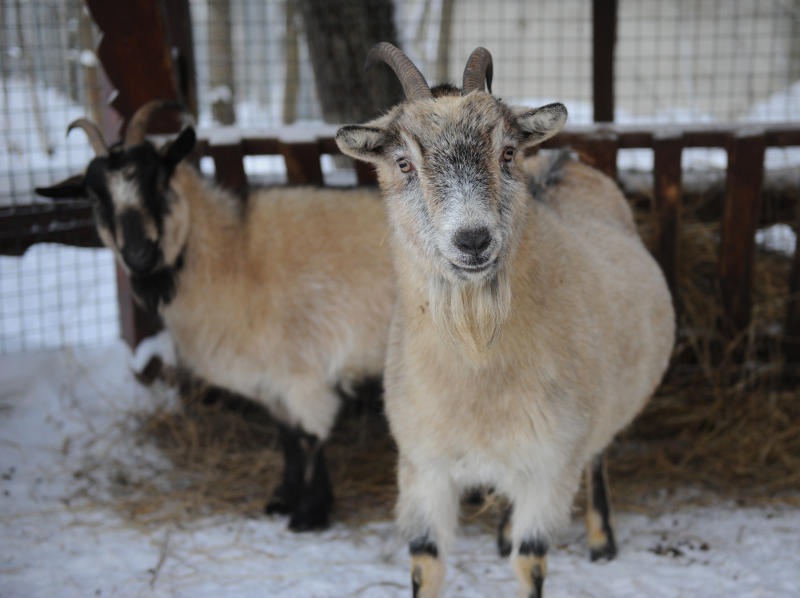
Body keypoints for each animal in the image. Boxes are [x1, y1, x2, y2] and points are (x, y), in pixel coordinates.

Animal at [37, 103, 394, 536]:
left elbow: (309, 438)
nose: (139, 255)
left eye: (158, 179)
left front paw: (309, 515)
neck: (234, 255)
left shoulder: (303, 371)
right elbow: (288, 439)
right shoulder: (272, 379)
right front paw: (282, 500)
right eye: (94, 195)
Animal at [336, 45, 676, 598]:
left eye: (507, 154)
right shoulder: (424, 466)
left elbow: (530, 560)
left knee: (598, 455)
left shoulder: (548, 466)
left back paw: (601, 540)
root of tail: (563, 160)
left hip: (601, 412)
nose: (473, 240)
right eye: (403, 162)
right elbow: (426, 561)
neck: (478, 367)